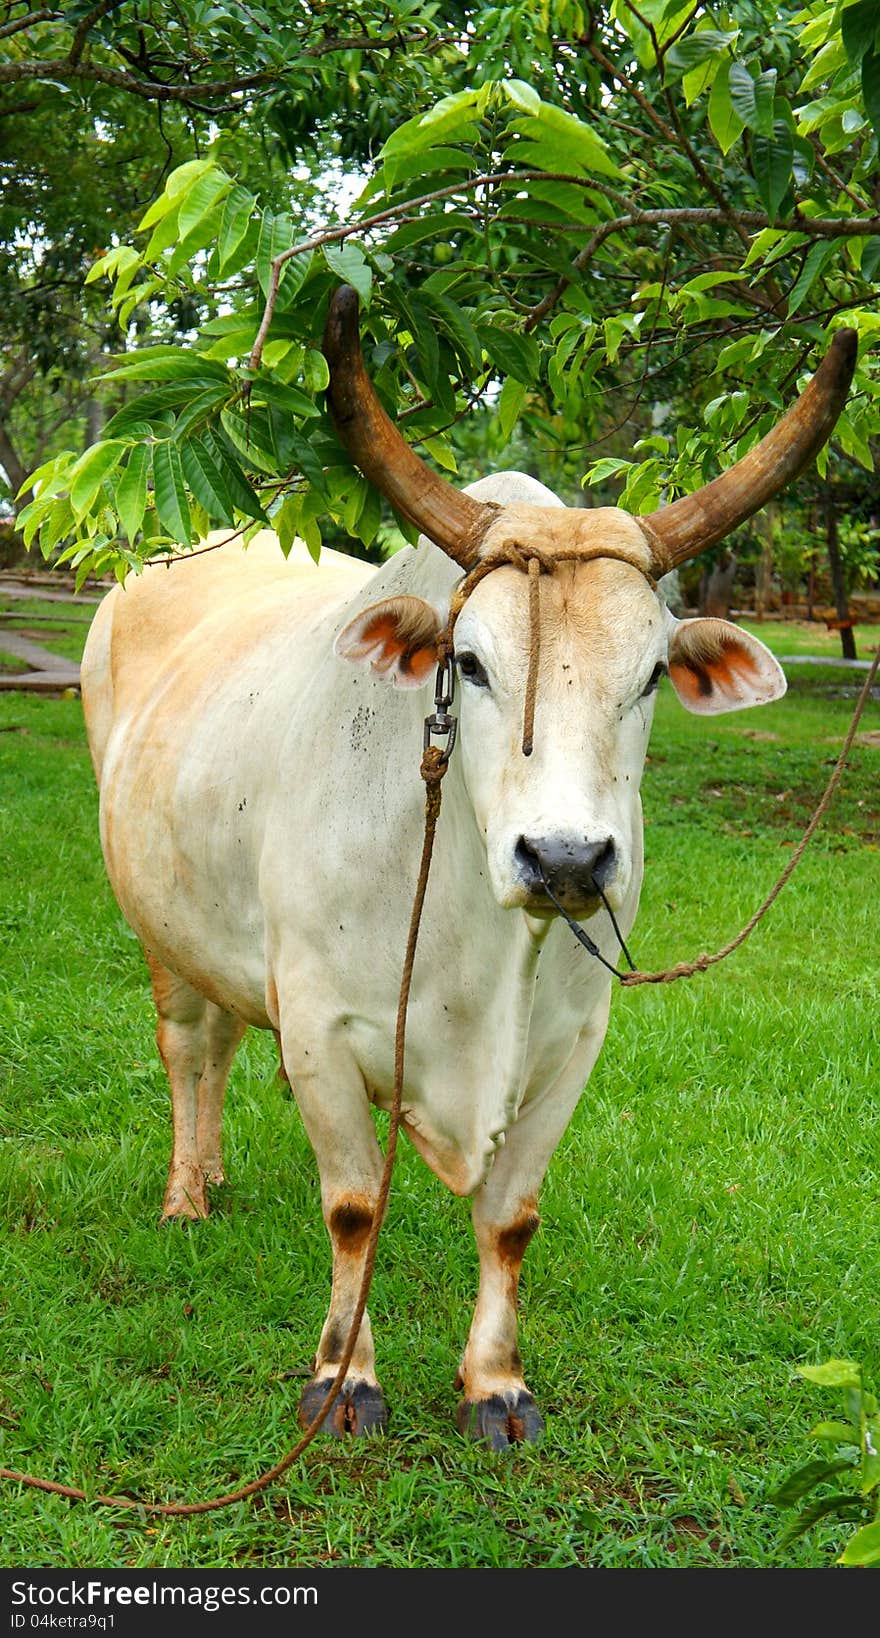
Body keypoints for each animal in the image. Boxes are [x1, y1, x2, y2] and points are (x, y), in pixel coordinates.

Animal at [80, 298, 852, 1447]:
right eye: (471, 664)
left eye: (650, 677)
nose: (566, 858)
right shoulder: (319, 1028)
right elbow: (354, 1207)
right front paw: (344, 1379)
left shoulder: (573, 1042)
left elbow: (510, 1219)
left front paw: (495, 1383)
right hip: (154, 926)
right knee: (187, 1050)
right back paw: (186, 1195)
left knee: (217, 1042)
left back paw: (211, 1173)